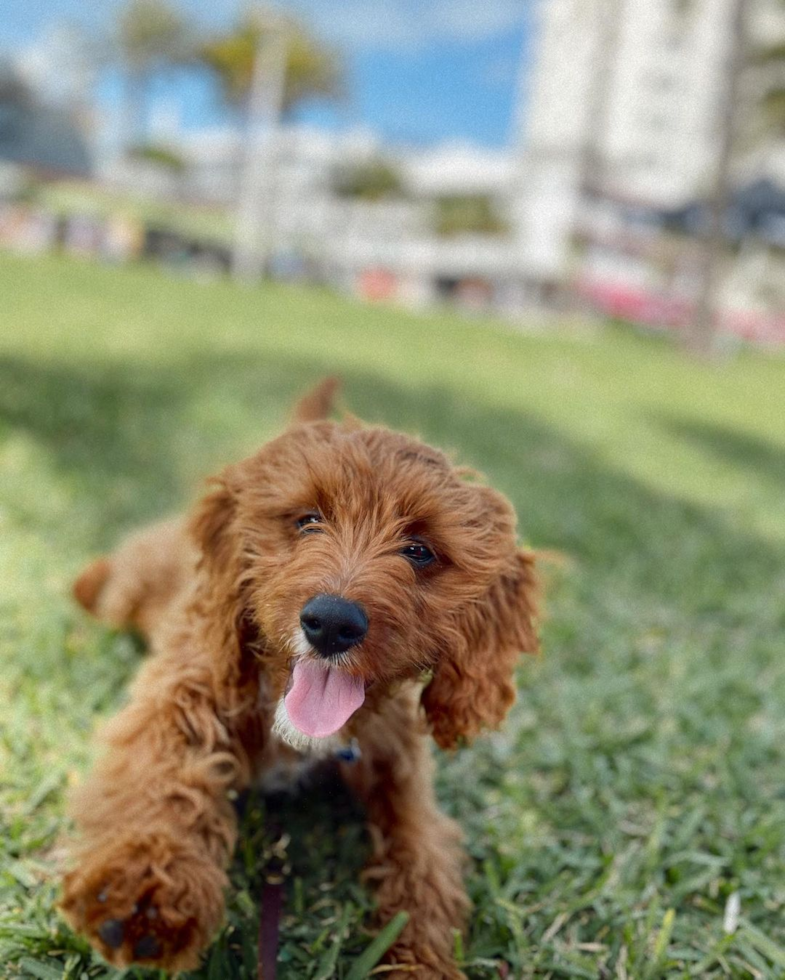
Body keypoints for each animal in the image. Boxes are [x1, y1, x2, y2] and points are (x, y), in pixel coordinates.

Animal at [61, 378, 540, 976]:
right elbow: (161, 771)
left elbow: (423, 860)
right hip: (134, 584)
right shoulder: (185, 687)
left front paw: (419, 960)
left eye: (419, 550)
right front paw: (145, 890)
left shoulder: (403, 772)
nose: (332, 623)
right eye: (309, 520)